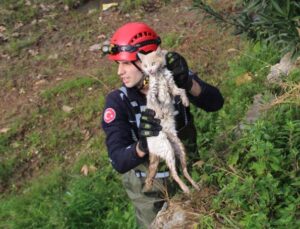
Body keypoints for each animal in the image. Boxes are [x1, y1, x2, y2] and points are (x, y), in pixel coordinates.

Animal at [138, 47, 199, 194]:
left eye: (153, 63)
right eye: (145, 66)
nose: (149, 71)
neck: (159, 75)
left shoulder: (172, 86)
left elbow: (182, 90)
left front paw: (186, 101)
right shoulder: (152, 93)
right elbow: (154, 104)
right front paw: (159, 113)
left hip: (179, 148)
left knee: (183, 170)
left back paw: (194, 186)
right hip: (167, 149)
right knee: (173, 174)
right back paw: (186, 189)